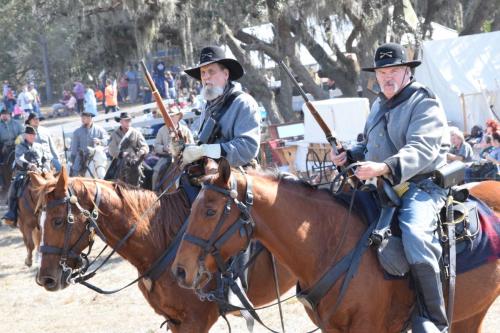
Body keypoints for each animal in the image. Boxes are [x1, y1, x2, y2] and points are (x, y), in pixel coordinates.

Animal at [30, 167, 296, 332]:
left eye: (58, 221)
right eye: (39, 221)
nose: (45, 278)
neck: (159, 241)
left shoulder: (194, 322)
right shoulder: (175, 322)